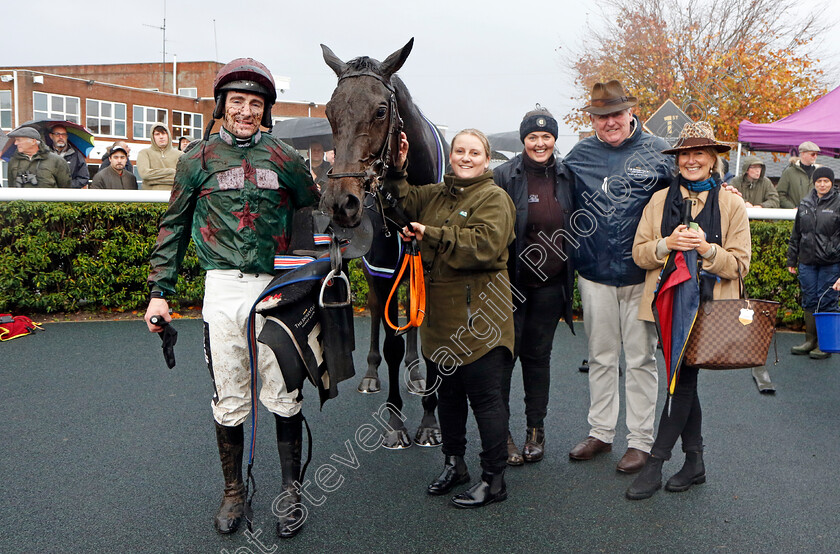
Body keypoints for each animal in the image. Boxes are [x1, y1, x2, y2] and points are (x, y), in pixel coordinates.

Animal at [318, 37, 446, 448]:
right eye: (329, 112)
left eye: (380, 110)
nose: (340, 203)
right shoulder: (383, 267)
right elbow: (390, 341)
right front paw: (395, 423)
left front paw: (429, 422)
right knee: (377, 310)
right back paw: (373, 374)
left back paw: (415, 370)